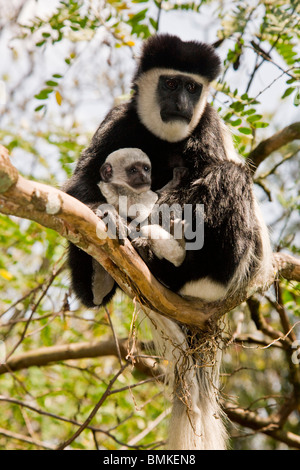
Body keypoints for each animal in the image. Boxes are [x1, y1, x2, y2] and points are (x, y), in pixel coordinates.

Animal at [65, 35, 272, 450]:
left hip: (236, 266)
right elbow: (83, 181)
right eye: (171, 83)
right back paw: (99, 279)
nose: (182, 104)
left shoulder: (207, 125)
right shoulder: (118, 119)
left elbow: (203, 173)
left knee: (228, 175)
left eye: (192, 87)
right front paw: (107, 213)